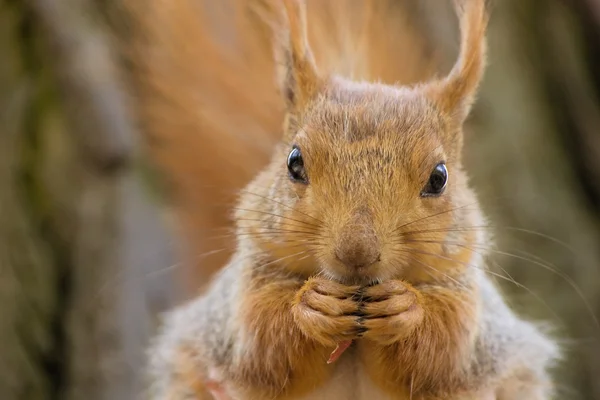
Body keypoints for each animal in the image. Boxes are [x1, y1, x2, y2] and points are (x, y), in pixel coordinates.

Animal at [127, 0, 564, 396]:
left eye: (439, 177)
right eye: (294, 162)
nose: (357, 252)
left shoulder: (474, 311)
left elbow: (445, 346)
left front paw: (407, 308)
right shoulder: (237, 302)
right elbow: (263, 339)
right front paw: (311, 305)